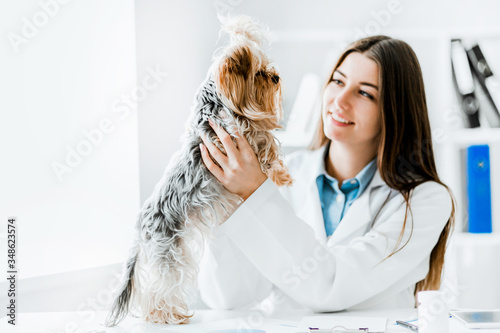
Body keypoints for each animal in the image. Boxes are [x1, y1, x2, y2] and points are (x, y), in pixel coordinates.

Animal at [106, 14, 292, 324]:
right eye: (259, 74)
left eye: (267, 70)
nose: (277, 77)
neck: (214, 106)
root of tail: (140, 227)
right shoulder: (236, 134)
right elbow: (265, 138)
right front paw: (281, 174)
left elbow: (267, 139)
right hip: (169, 250)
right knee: (161, 286)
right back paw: (168, 315)